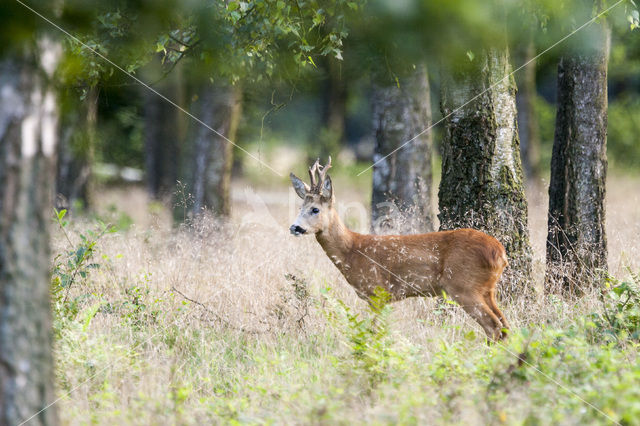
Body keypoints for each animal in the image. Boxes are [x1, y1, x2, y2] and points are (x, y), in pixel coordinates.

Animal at [292, 156, 510, 340]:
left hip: (464, 286)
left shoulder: (377, 292)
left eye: (315, 209)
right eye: (300, 208)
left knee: (493, 326)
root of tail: (500, 253)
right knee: (504, 324)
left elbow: (374, 331)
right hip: (487, 289)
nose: (294, 227)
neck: (352, 250)